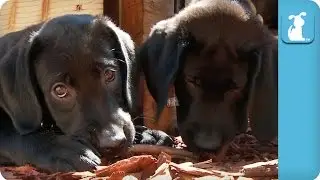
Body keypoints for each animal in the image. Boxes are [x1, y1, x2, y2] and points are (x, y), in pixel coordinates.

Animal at [0, 14, 172, 173]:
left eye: (109, 74)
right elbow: (11, 134)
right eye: (60, 90)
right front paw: (62, 149)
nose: (113, 141)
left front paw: (147, 134)